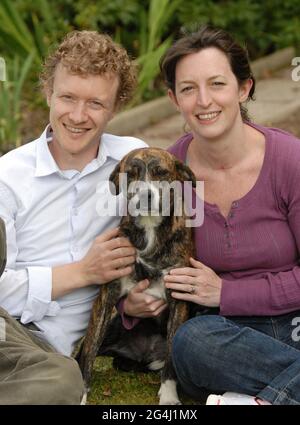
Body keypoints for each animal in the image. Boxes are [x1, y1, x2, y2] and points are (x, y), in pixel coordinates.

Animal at [77, 147, 196, 402]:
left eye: (161, 172)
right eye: (130, 174)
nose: (145, 196)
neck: (150, 229)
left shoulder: (178, 298)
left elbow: (171, 359)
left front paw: (168, 395)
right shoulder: (106, 299)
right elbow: (88, 355)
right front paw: (80, 394)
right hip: (113, 326)